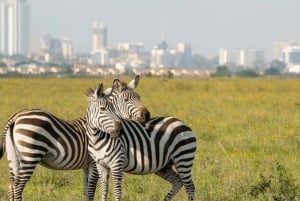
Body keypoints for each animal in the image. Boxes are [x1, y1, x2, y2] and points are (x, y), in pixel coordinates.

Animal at [0, 77, 148, 200]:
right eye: (126, 100)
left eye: (139, 97)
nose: (146, 115)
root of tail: (16, 116)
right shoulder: (93, 163)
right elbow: (91, 190)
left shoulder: (86, 166)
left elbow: (86, 190)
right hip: (30, 155)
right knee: (18, 185)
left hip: (13, 157)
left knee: (11, 183)